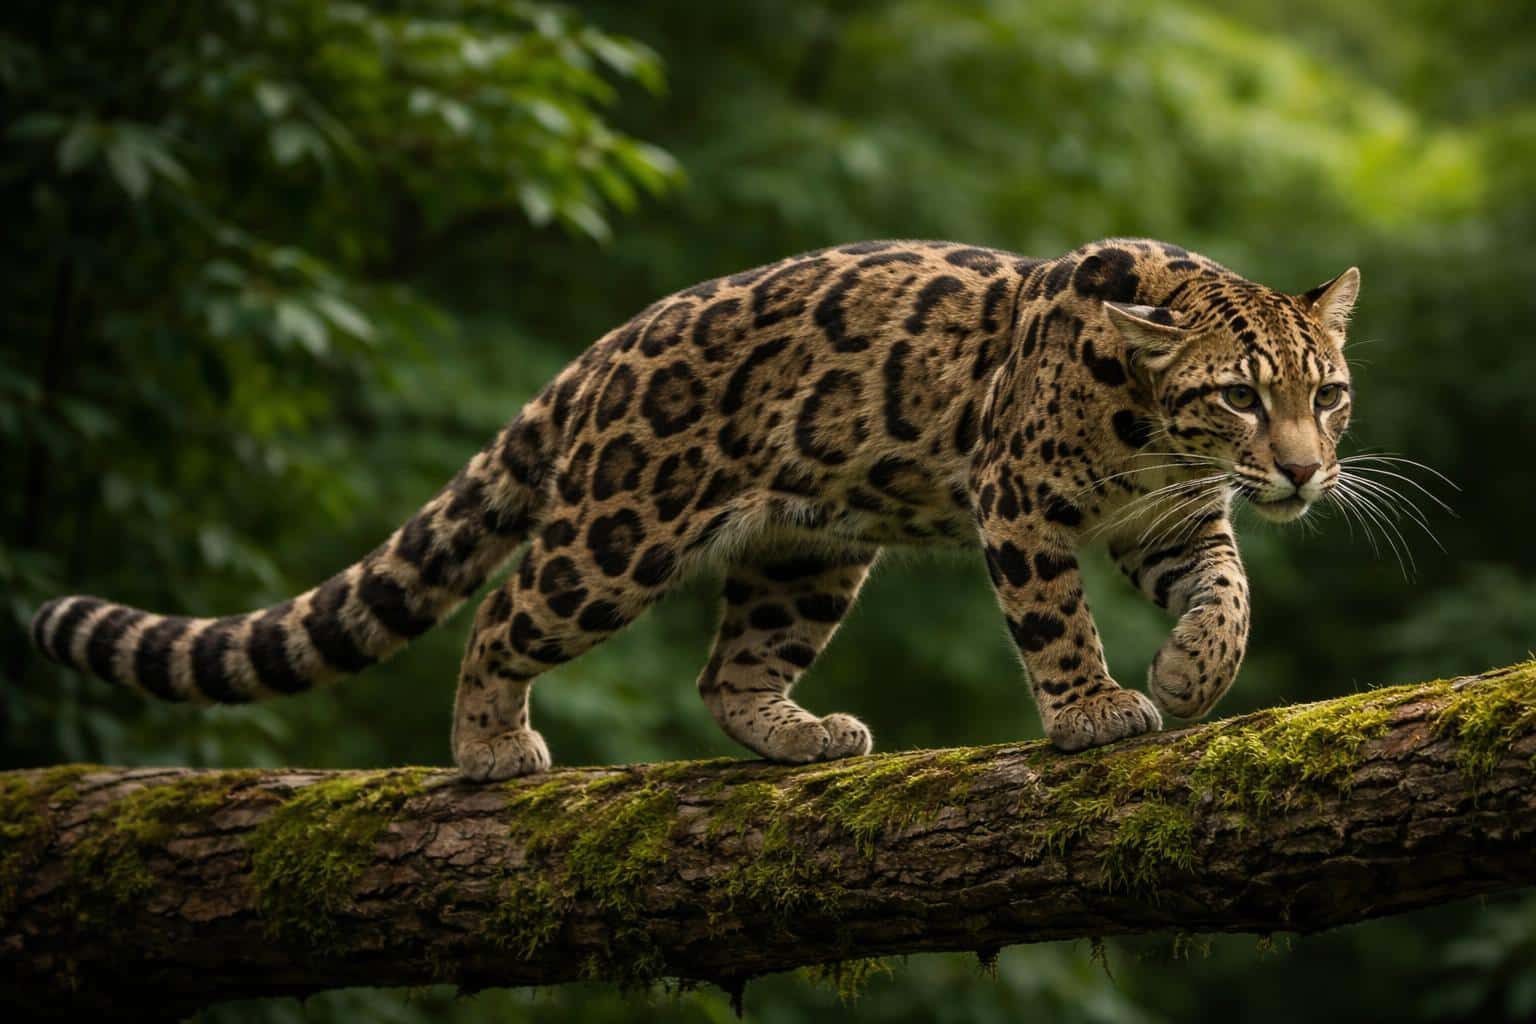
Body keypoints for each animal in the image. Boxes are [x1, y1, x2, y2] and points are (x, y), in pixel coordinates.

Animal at [30, 238, 1360, 781]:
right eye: (1241, 395)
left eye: (1329, 395)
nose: (1305, 472)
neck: (1153, 430)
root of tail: (607, 346)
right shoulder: (1018, 499)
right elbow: (1055, 620)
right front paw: (1093, 708)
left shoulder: (1174, 522)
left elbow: (1229, 591)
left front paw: (1191, 671)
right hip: (617, 532)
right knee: (503, 613)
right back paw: (489, 746)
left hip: (809, 554)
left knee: (728, 672)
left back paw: (802, 732)